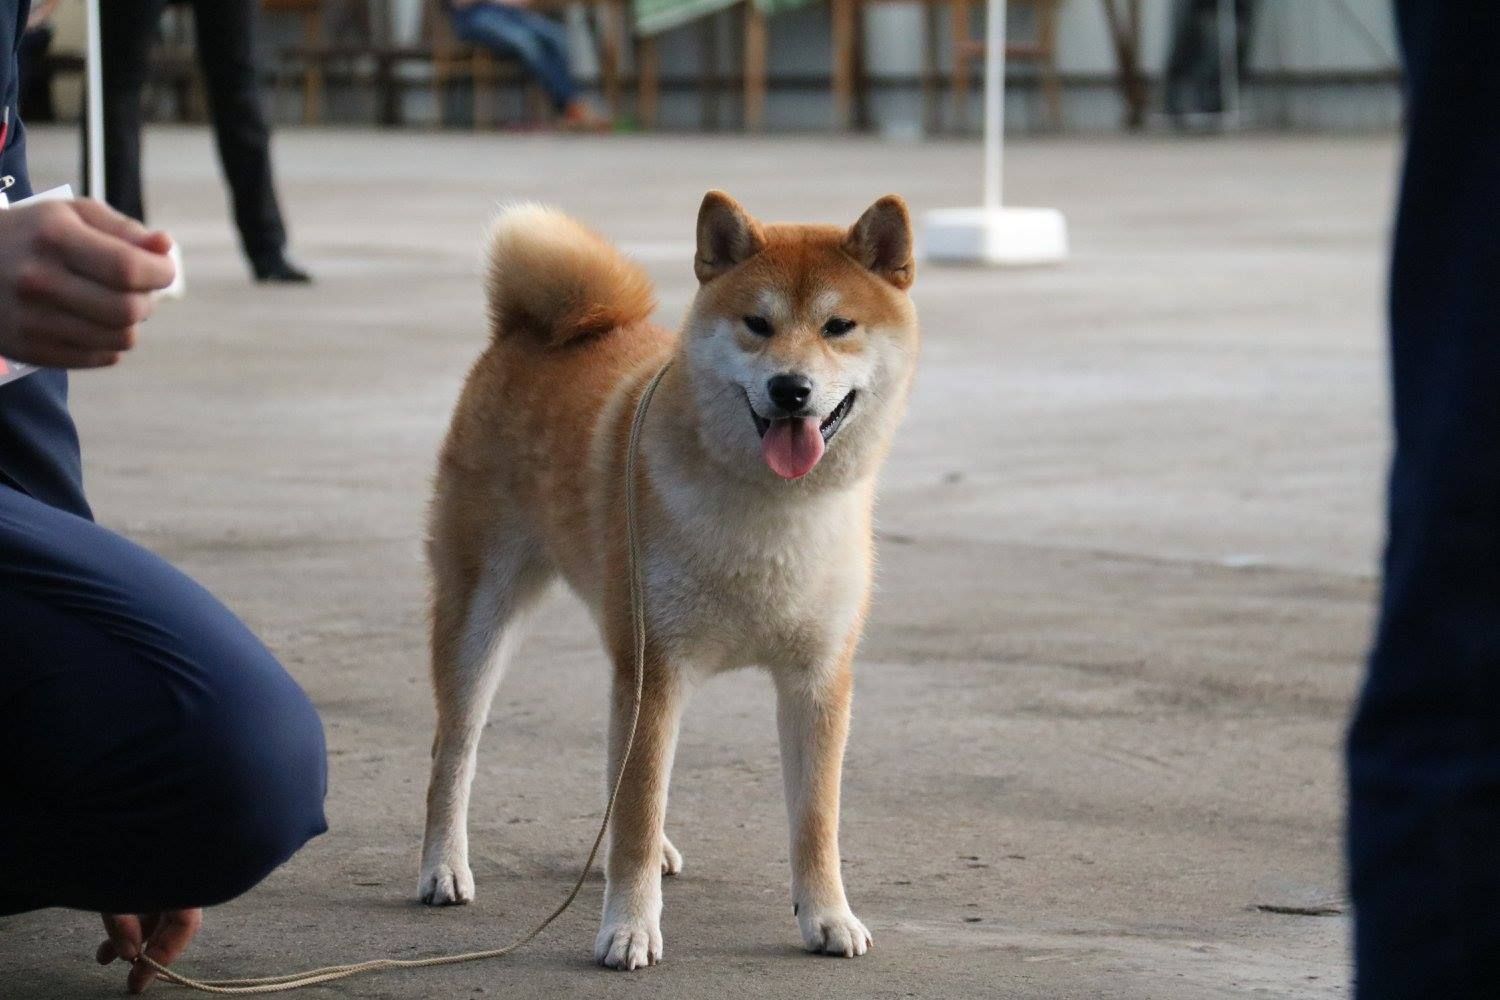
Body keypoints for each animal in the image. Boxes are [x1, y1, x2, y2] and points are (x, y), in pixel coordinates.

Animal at [417, 189, 918, 971]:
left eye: (839, 327)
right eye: (757, 324)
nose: (791, 388)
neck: (769, 509)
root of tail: (527, 329)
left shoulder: (816, 679)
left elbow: (815, 821)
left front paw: (828, 916)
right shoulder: (657, 672)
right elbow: (638, 809)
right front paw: (628, 927)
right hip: (482, 615)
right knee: (455, 750)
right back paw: (443, 867)